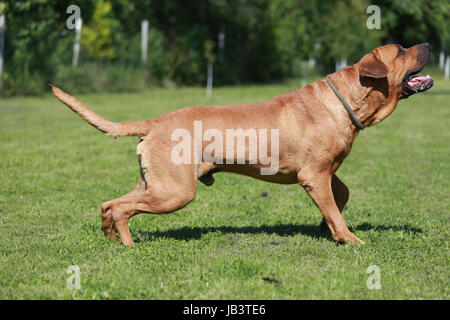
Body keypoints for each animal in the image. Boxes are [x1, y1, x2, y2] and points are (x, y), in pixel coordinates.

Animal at [51, 43, 432, 246]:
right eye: (401, 50)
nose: (428, 45)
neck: (346, 100)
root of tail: (154, 122)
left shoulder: (325, 173)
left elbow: (340, 197)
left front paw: (327, 226)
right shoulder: (314, 175)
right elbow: (336, 210)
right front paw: (347, 238)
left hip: (156, 183)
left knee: (109, 204)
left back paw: (110, 237)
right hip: (174, 192)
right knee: (122, 209)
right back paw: (128, 244)